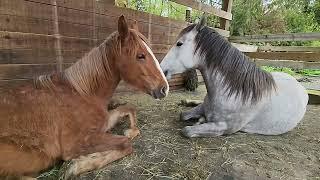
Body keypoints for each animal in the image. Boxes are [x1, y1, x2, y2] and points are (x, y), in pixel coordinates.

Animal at [0, 15, 169, 179]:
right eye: (140, 56)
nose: (164, 88)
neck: (83, 93)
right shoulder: (76, 144)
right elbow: (126, 143)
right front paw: (77, 165)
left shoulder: (101, 125)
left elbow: (128, 109)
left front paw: (131, 130)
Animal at [161, 17, 308, 138]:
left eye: (179, 43)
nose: (162, 70)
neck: (233, 93)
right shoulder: (203, 108)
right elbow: (183, 115)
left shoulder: (224, 128)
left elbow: (187, 130)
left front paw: (199, 121)